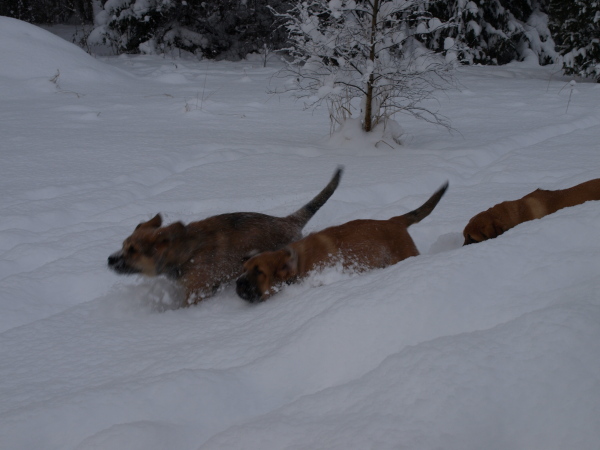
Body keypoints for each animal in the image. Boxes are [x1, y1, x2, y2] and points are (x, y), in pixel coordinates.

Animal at [108, 167, 342, 304]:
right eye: (124, 244)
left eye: (133, 250)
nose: (110, 259)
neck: (185, 252)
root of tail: (288, 221)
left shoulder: (196, 293)